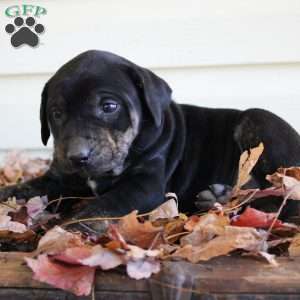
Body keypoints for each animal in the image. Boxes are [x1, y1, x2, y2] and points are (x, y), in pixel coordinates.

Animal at [0, 50, 300, 221]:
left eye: (109, 107)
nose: (76, 156)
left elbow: (101, 207)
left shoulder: (144, 185)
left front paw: (67, 231)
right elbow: (22, 189)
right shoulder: (59, 179)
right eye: (56, 113)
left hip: (258, 121)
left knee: (283, 195)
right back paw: (219, 198)